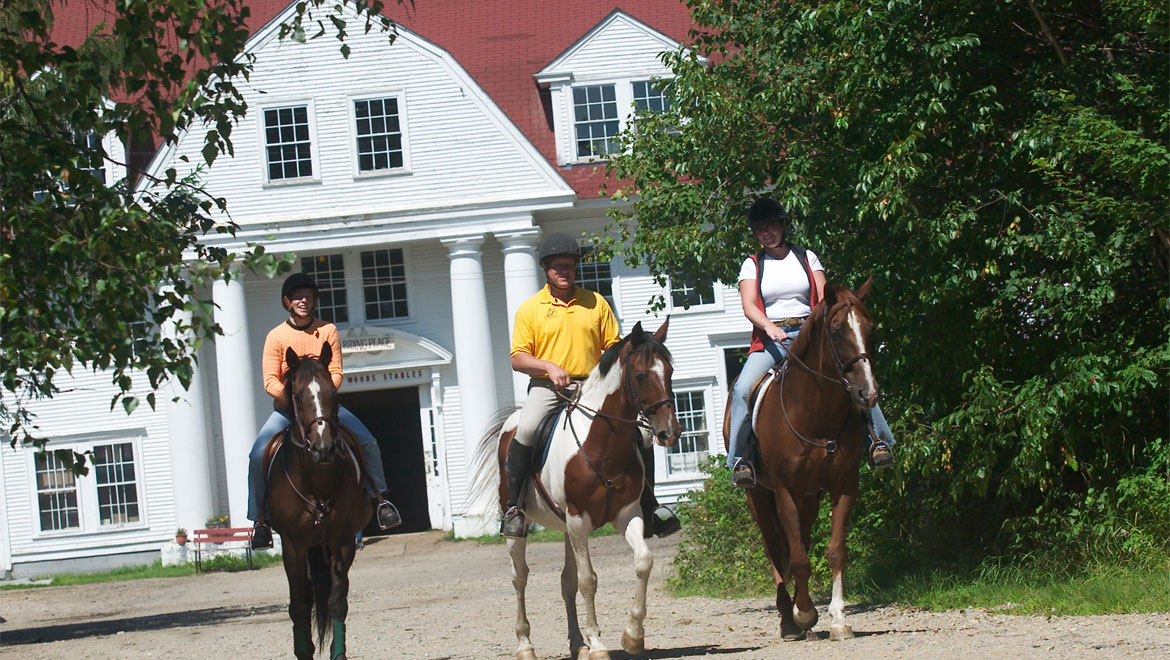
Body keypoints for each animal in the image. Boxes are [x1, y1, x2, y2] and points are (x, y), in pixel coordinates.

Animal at [265, 346, 369, 660]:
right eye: (297, 396)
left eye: (333, 393)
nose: (324, 448)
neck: (316, 483)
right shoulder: (292, 546)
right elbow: (298, 607)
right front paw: (303, 651)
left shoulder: (343, 541)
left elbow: (336, 602)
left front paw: (339, 653)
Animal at [470, 320, 683, 660]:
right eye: (640, 375)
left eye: (670, 371)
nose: (669, 433)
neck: (602, 444)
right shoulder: (579, 519)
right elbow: (588, 581)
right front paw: (598, 644)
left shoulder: (627, 514)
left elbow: (643, 562)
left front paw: (632, 636)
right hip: (526, 524)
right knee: (520, 578)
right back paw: (525, 644)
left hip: (567, 529)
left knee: (565, 581)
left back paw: (576, 644)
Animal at [720, 277, 879, 641]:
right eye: (836, 332)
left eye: (870, 328)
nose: (868, 393)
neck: (816, 415)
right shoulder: (784, 492)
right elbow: (798, 559)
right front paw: (803, 614)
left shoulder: (844, 484)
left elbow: (835, 551)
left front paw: (837, 618)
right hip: (759, 496)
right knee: (775, 550)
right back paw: (788, 620)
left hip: (810, 496)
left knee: (799, 541)